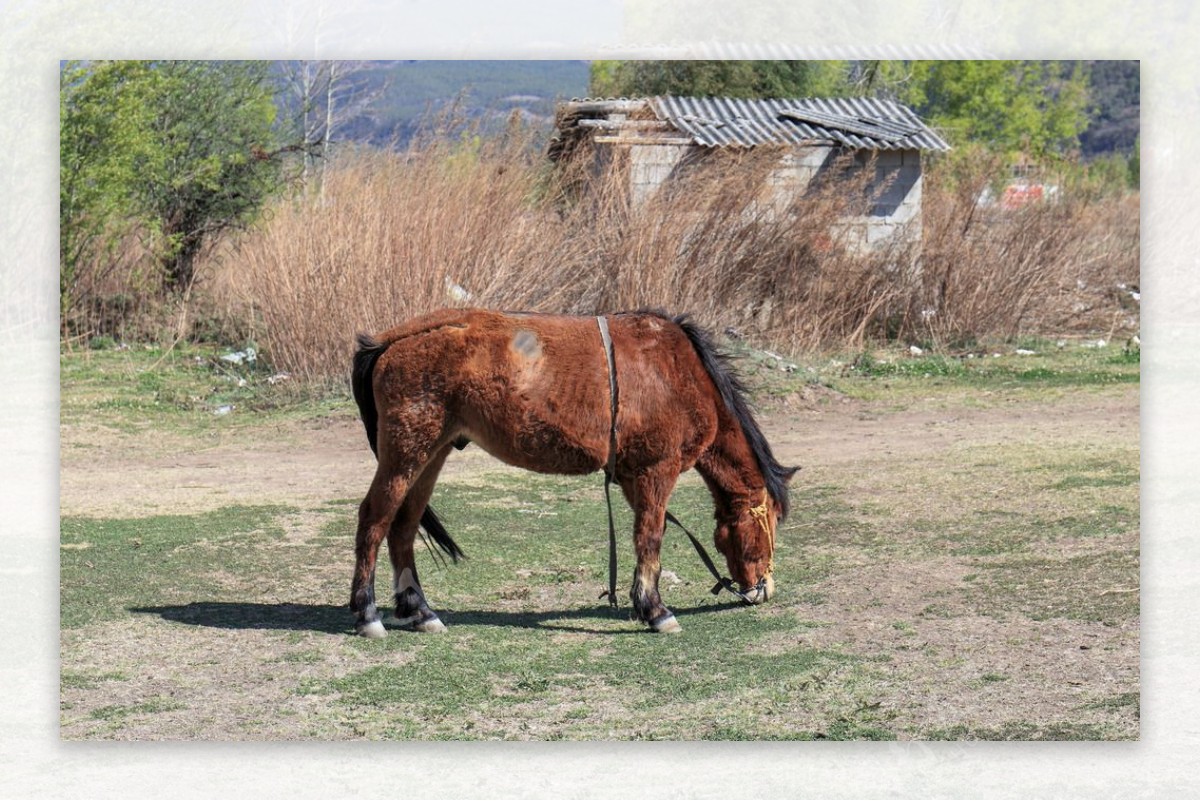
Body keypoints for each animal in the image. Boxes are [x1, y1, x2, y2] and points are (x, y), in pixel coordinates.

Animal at [348, 306, 796, 637]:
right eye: (772, 521)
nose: (764, 589)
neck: (677, 372)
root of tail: (392, 340)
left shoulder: (632, 478)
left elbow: (642, 539)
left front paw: (641, 602)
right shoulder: (657, 472)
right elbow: (651, 537)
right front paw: (656, 611)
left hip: (431, 454)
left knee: (403, 527)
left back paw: (420, 611)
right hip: (407, 453)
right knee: (374, 519)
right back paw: (368, 614)